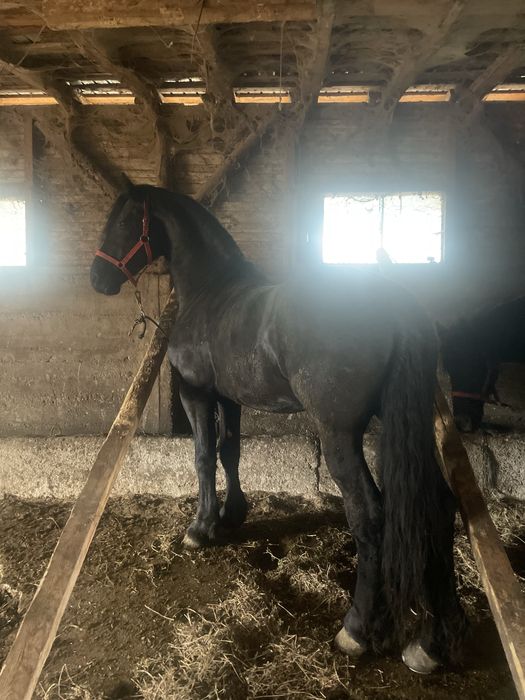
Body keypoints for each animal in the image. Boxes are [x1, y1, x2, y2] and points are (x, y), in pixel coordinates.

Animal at [90, 183, 465, 674]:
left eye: (122, 221)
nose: (97, 277)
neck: (211, 293)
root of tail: (395, 306)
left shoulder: (196, 393)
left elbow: (203, 457)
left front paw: (200, 527)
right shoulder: (229, 398)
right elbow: (230, 451)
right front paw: (232, 515)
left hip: (339, 434)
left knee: (370, 514)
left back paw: (356, 630)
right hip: (408, 422)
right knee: (438, 504)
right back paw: (432, 642)